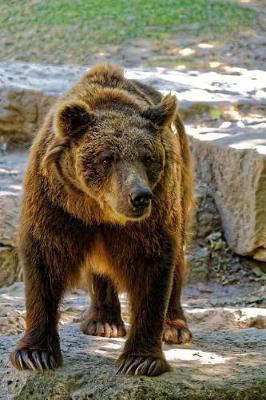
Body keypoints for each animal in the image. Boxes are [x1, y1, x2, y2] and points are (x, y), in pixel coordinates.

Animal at [9, 64, 193, 376]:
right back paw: (103, 321)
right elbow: (44, 259)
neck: (97, 209)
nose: (140, 196)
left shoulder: (154, 213)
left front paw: (140, 359)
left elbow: (153, 264)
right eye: (108, 158)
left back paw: (175, 326)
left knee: (178, 255)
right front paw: (34, 353)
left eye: (147, 158)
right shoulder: (54, 203)